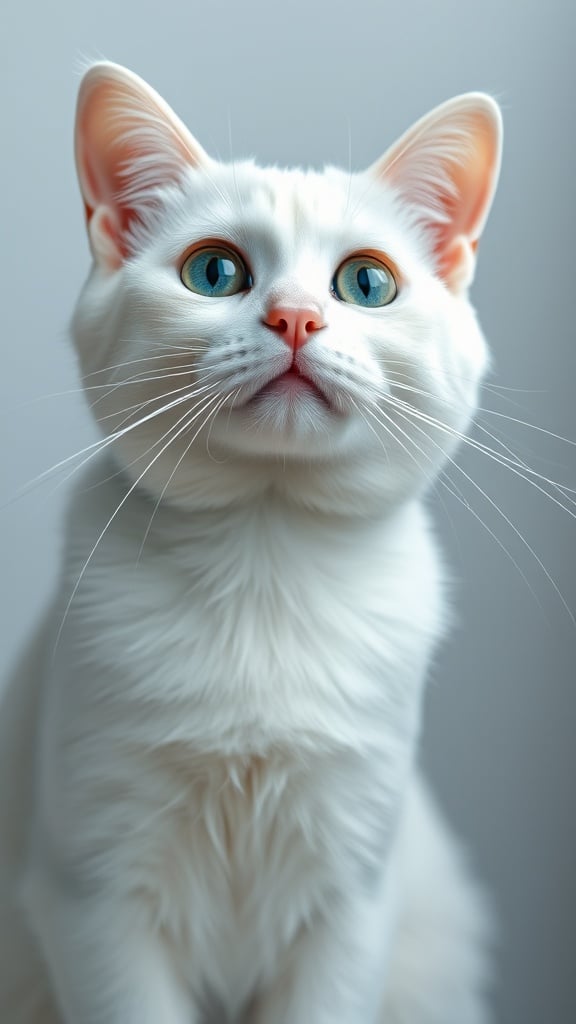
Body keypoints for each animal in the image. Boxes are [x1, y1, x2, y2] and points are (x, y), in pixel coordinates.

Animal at [0, 64, 498, 1024]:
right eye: (216, 271)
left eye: (367, 284)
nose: (296, 318)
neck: (267, 557)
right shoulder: (93, 893)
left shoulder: (353, 894)